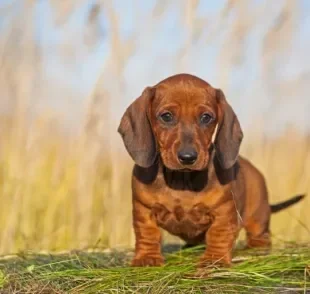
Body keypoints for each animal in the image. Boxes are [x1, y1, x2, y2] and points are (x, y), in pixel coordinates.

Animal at [118, 73, 306, 266]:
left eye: (206, 117)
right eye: (166, 116)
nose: (188, 157)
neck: (182, 181)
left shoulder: (223, 212)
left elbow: (218, 235)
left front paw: (214, 259)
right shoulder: (143, 209)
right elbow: (147, 233)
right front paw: (147, 258)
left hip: (258, 217)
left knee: (260, 236)